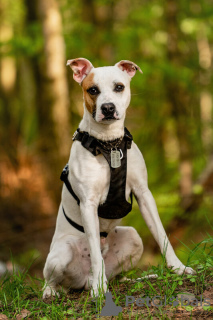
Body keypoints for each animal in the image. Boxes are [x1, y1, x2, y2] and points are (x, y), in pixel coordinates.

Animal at [42, 57, 194, 298]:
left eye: (119, 87)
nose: (108, 107)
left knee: (116, 275)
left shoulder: (144, 194)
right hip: (61, 254)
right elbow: (95, 251)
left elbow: (162, 234)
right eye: (93, 90)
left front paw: (178, 267)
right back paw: (57, 291)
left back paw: (129, 280)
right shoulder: (88, 204)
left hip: (133, 238)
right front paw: (99, 289)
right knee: (53, 280)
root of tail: (83, 280)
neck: (109, 143)